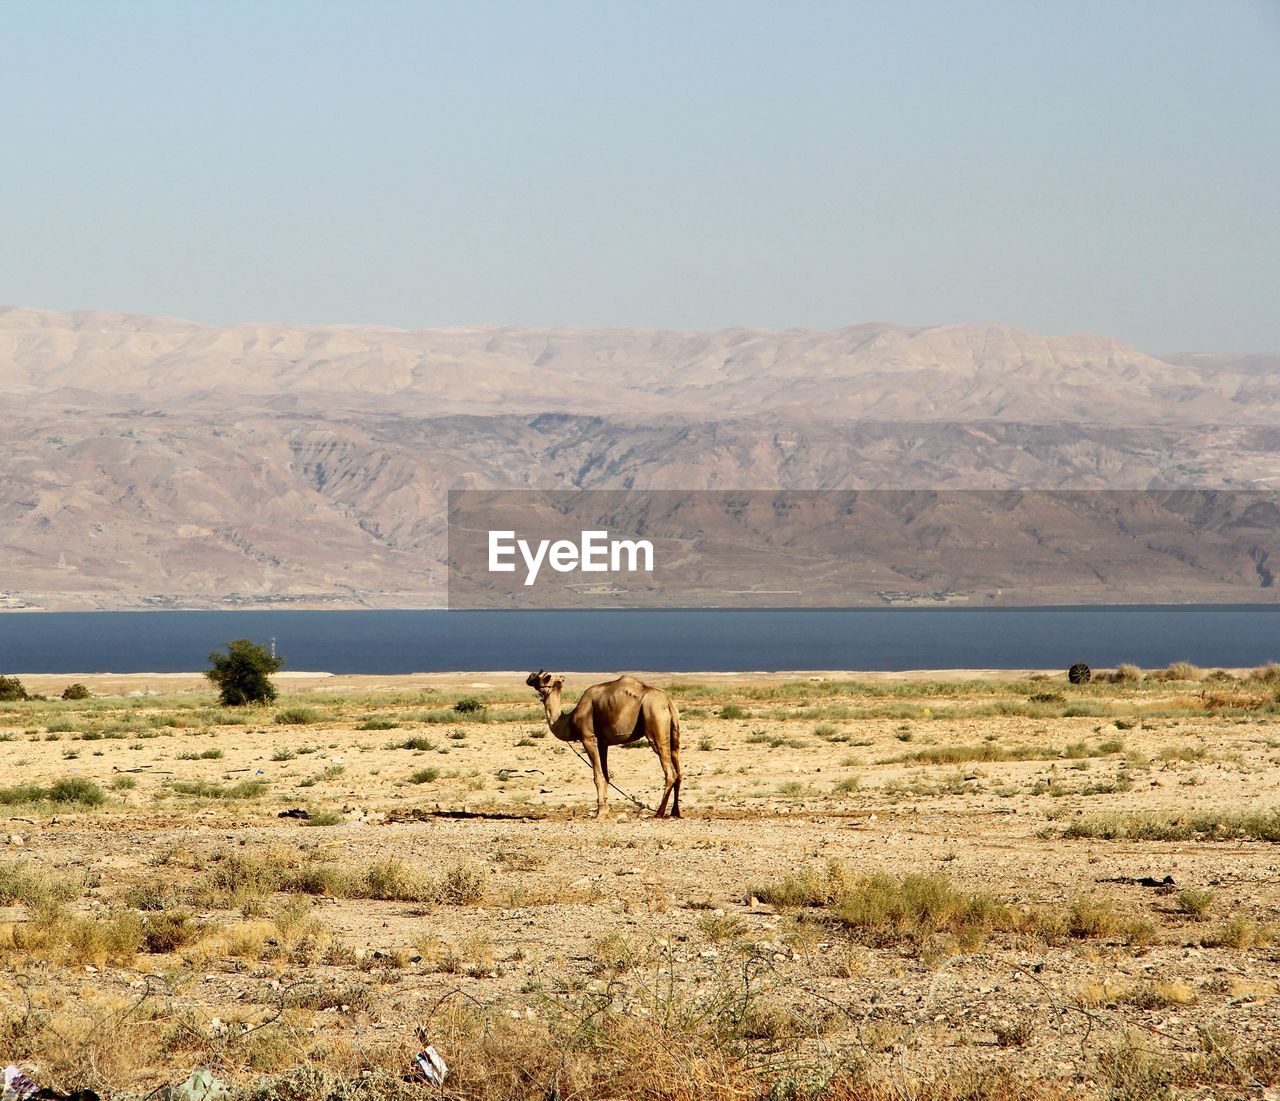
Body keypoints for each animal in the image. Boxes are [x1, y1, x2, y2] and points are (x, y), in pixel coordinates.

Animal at [524, 670, 686, 819]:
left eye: (541, 675)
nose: (529, 676)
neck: (570, 719)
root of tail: (668, 703)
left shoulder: (588, 738)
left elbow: (597, 776)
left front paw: (600, 812)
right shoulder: (603, 742)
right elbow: (606, 775)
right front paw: (605, 808)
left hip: (655, 720)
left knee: (670, 773)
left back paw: (659, 813)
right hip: (674, 732)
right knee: (678, 770)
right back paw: (675, 812)